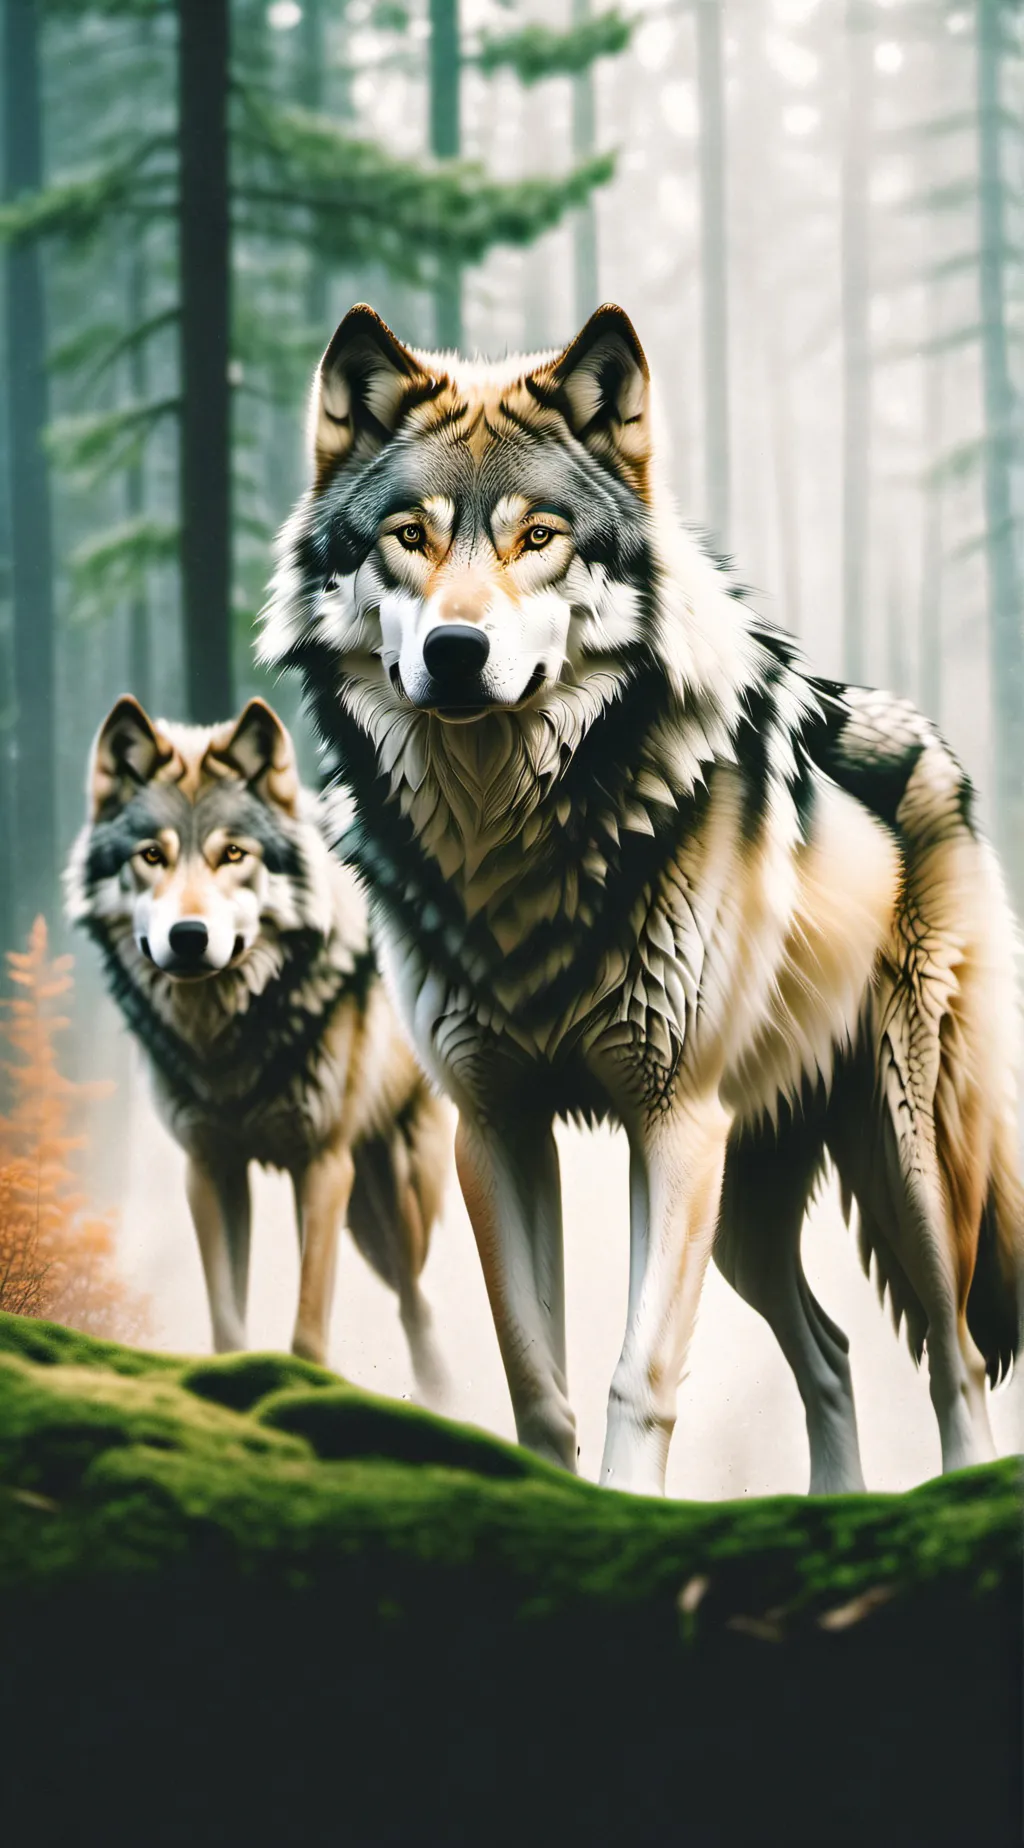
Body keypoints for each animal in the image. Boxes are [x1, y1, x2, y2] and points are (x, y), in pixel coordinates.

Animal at [66, 693, 451, 1390]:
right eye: (151, 856)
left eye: (234, 854)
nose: (189, 937)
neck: (224, 1043)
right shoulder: (210, 1168)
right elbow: (227, 1324)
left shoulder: (323, 1165)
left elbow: (307, 1331)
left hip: (391, 1205)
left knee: (418, 1308)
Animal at [260, 300, 1023, 1495]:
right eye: (407, 536)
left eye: (539, 537)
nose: (456, 650)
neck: (508, 841)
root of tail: (933, 744)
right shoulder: (496, 1125)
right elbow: (536, 1378)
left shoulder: (669, 1122)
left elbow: (640, 1373)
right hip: (750, 1204)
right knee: (833, 1352)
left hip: (908, 1167)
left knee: (956, 1360)